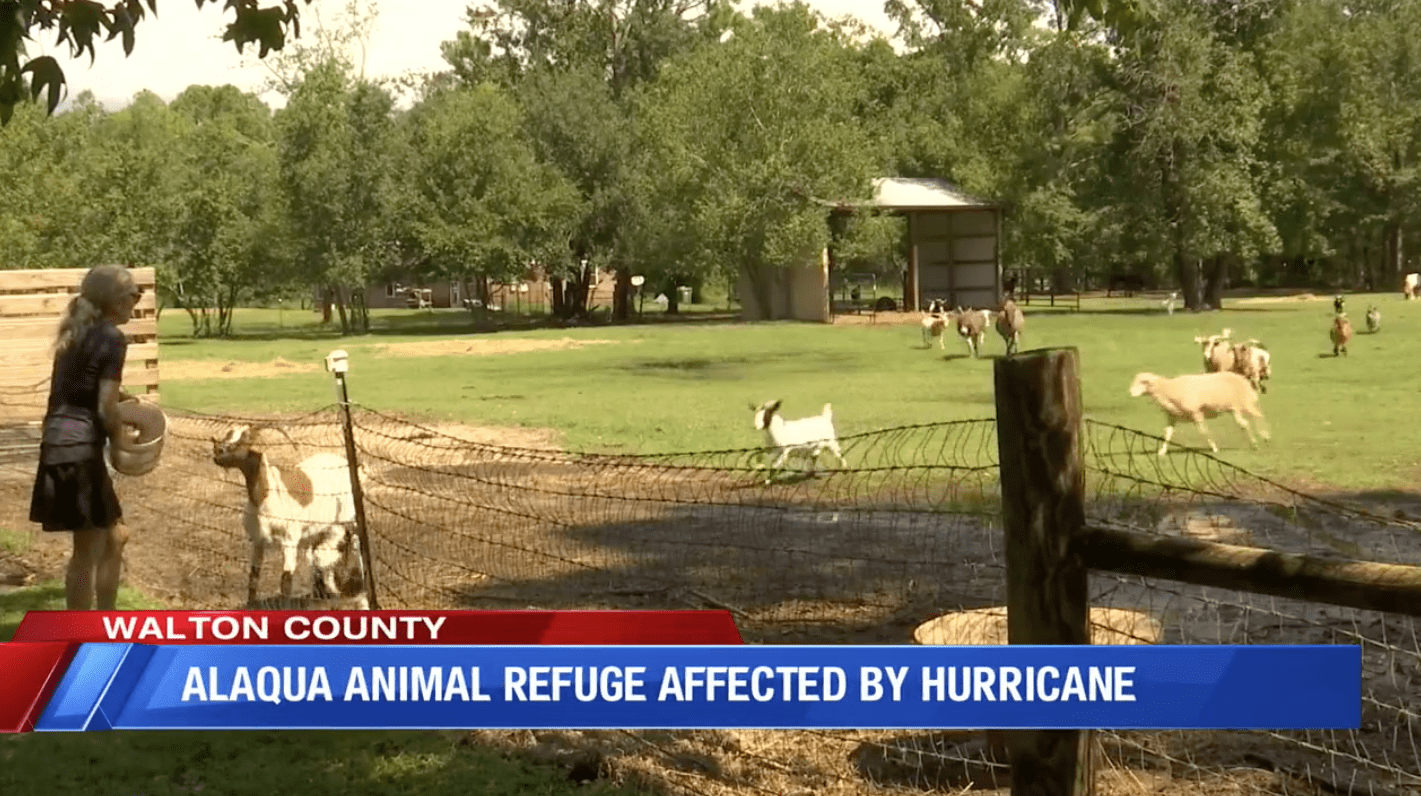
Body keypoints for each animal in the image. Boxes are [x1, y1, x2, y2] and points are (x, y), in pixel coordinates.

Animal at [1125, 372, 1273, 457]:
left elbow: (1204, 431)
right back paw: (1256, 443)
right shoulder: (1172, 417)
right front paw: (1162, 451)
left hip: (1244, 403)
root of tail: (1243, 379)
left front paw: (1214, 448)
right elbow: (1167, 434)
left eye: (1141, 382)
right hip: (1234, 408)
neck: (1169, 390)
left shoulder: (1197, 413)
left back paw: (1264, 438)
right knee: (1245, 423)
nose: (1130, 392)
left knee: (1257, 417)